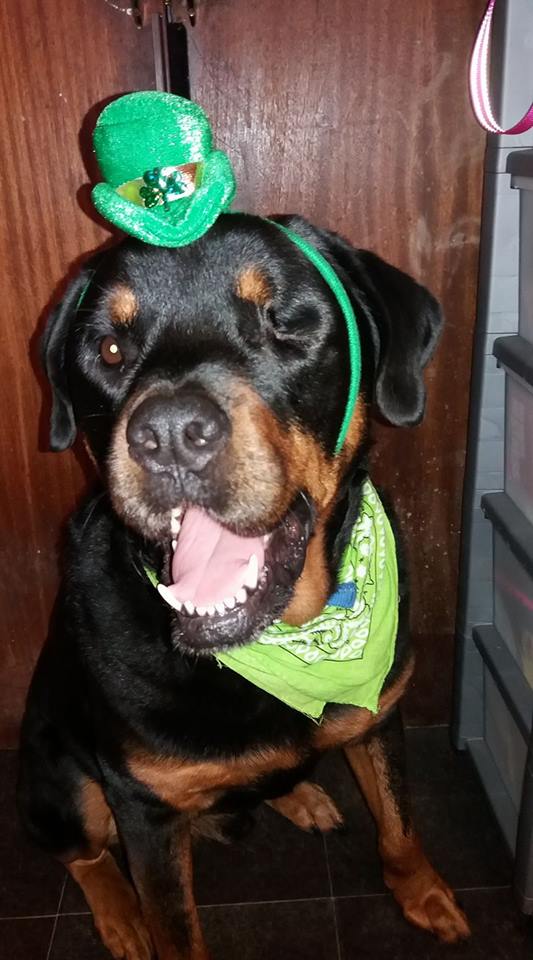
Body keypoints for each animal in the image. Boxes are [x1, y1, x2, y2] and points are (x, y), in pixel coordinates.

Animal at [16, 214, 468, 956]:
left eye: (283, 324)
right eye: (109, 348)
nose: (169, 433)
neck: (282, 642)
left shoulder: (381, 712)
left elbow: (398, 821)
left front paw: (423, 893)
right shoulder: (142, 807)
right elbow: (174, 928)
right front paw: (145, 922)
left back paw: (300, 795)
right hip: (63, 778)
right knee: (79, 852)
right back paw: (120, 917)